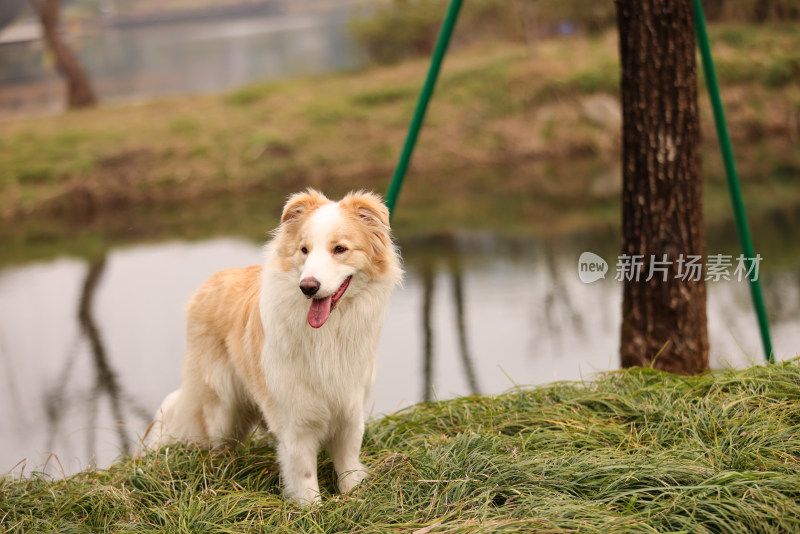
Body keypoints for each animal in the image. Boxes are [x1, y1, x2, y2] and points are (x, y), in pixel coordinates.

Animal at [145, 189, 404, 506]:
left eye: (340, 249)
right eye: (304, 250)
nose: (308, 287)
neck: (327, 333)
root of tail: (210, 281)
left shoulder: (350, 413)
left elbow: (348, 468)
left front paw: (354, 500)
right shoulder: (295, 421)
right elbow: (305, 479)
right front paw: (312, 510)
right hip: (221, 407)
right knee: (216, 442)